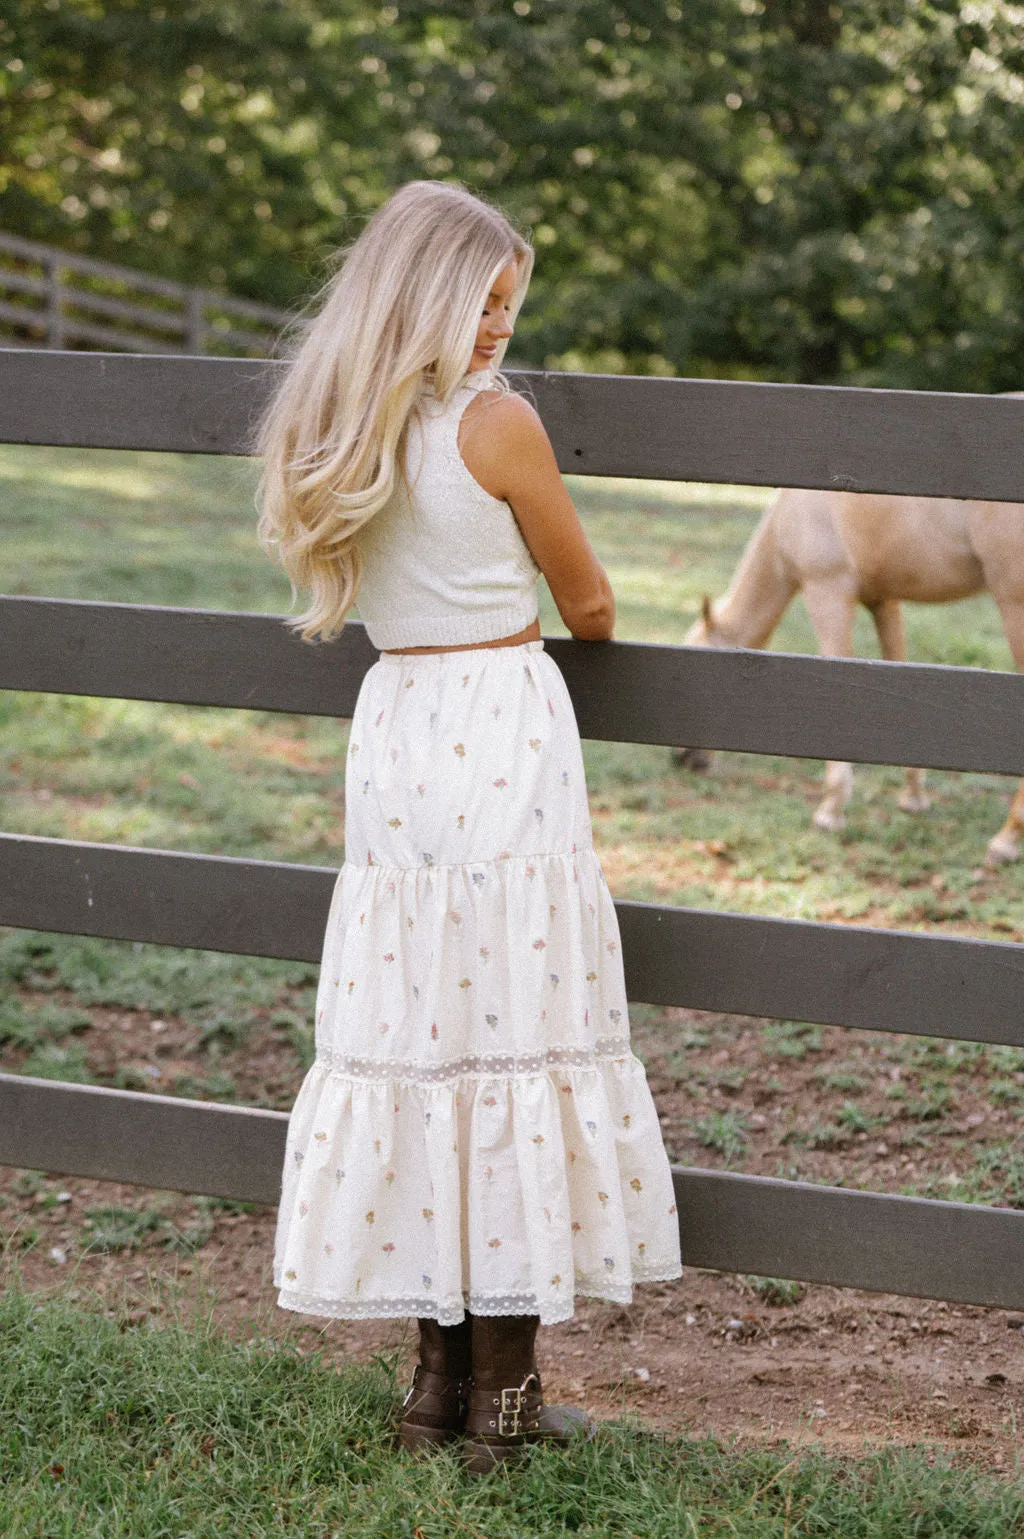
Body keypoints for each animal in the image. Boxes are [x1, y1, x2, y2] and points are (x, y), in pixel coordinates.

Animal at [677, 489, 1022, 867]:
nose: (683, 760)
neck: (788, 514)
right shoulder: (883, 601)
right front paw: (913, 798)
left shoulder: (827, 593)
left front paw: (830, 812)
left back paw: (1006, 841)